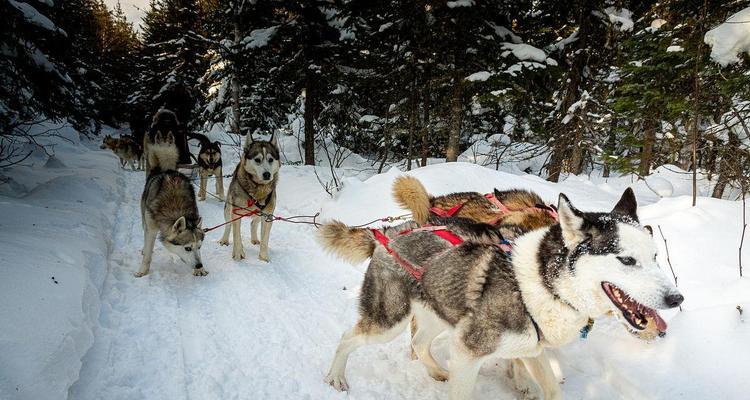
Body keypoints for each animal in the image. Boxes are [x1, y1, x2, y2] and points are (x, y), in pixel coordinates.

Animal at [138, 131, 207, 278]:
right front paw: (143, 270)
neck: (176, 207)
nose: (199, 265)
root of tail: (165, 170)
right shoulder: (151, 229)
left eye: (199, 247)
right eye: (187, 248)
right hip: (144, 219)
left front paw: (200, 270)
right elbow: (148, 253)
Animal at [320, 189, 684, 398]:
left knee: (419, 343)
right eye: (627, 260)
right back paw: (336, 377)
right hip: (389, 319)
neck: (541, 285)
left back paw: (437, 370)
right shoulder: (468, 352)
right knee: (348, 337)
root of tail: (388, 232)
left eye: (655, 256)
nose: (676, 299)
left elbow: (548, 386)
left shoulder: (531, 348)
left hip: (440, 313)